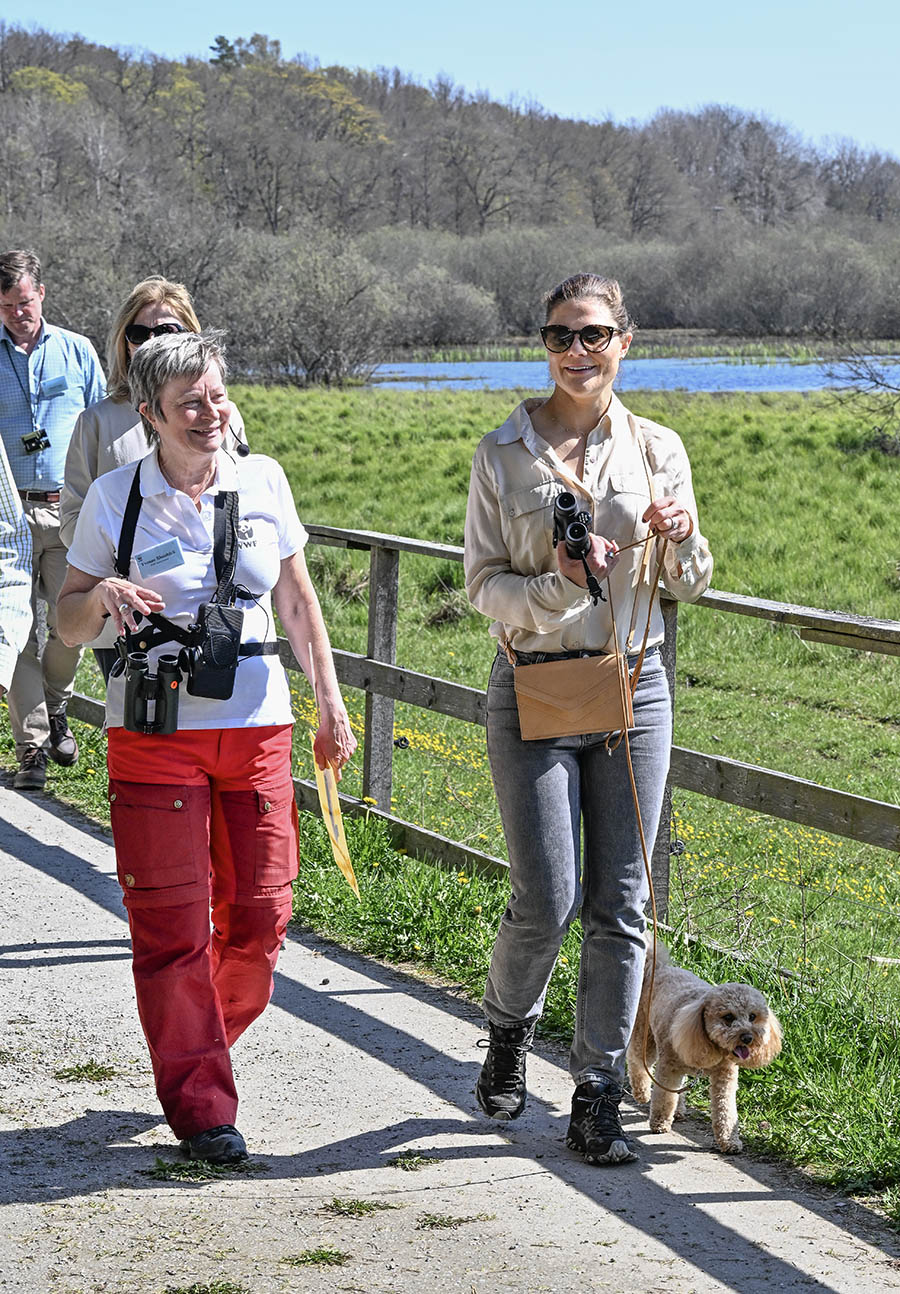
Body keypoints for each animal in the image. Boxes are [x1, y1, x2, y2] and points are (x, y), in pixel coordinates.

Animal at [625, 942, 781, 1154]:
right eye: (728, 1017)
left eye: (752, 1016)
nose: (748, 1038)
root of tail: (660, 967)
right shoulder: (668, 1068)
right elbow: (664, 1098)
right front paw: (659, 1123)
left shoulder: (725, 1078)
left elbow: (726, 1110)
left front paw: (729, 1141)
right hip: (645, 1035)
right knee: (637, 1062)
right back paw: (642, 1093)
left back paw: (679, 1111)